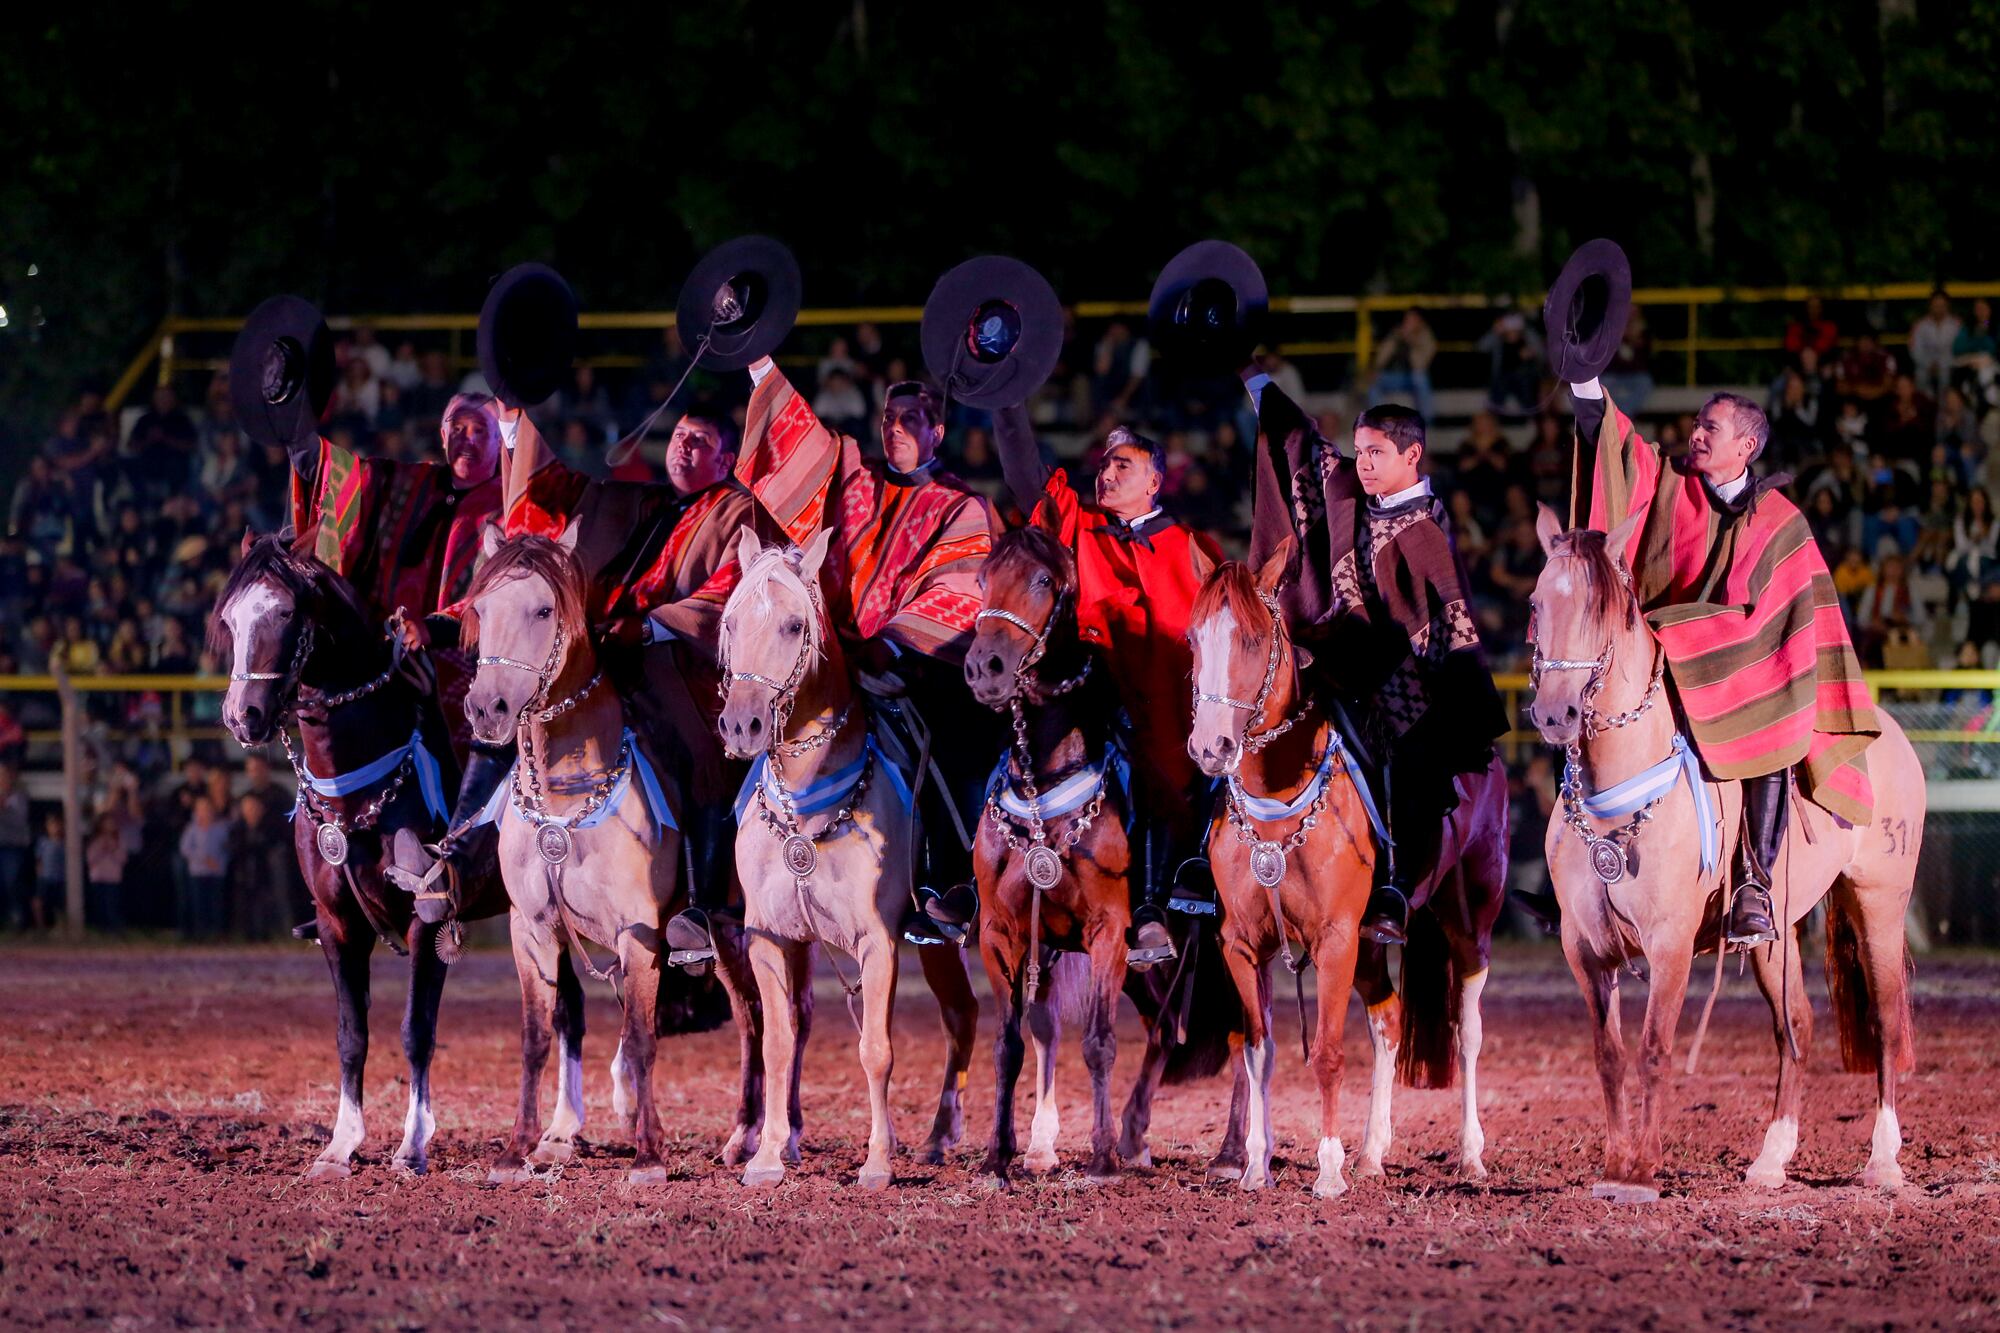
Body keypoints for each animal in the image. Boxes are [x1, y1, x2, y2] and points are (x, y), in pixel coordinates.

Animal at [209, 528, 508, 1176]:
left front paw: (413, 1143)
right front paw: (341, 1143)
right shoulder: (337, 924)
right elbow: (352, 1034)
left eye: (285, 613)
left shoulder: (428, 920)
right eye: (230, 617)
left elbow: (416, 1030)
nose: (243, 716)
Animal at [720, 524, 984, 1184]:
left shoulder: (877, 941)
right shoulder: (769, 937)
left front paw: (878, 1162)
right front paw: (767, 1156)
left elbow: (876, 1051)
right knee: (963, 1013)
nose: (743, 725)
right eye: (731, 623)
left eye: (794, 625)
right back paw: (937, 1139)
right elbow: (779, 1042)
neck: (809, 810)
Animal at [956, 524, 1232, 1176]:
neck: (1044, 787)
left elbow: (1100, 1042)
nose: (985, 668)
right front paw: (1000, 1155)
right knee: (1163, 1031)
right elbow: (1008, 1043)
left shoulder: (1109, 931)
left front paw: (1101, 1158)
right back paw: (1135, 1137)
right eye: (982, 578)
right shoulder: (1001, 934)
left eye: (1042, 580)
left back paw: (1234, 1152)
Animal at [1184, 540, 1504, 1192]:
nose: (1210, 748)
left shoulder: (1333, 939)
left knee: (1468, 1029)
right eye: (1193, 638)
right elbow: (1258, 1050)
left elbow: (1328, 1052)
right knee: (1389, 1019)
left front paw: (1328, 1170)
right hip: (1369, 943)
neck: (1279, 797)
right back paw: (1373, 1152)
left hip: (1468, 923)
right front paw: (1254, 1164)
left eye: (1252, 639)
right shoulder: (1242, 943)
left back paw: (1470, 1153)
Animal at [1528, 506, 1920, 1192]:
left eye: (1602, 611)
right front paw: (1615, 1162)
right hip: (1775, 931)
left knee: (1886, 1022)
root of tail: (1889, 733)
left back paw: (1883, 1158)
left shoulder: (1670, 943)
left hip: (1880, 902)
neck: (1618, 797)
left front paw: (1642, 1169)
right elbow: (1608, 1055)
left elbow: (1654, 1049)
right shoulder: (1585, 950)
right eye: (1535, 604)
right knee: (1796, 1024)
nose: (1555, 716)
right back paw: (1772, 1158)